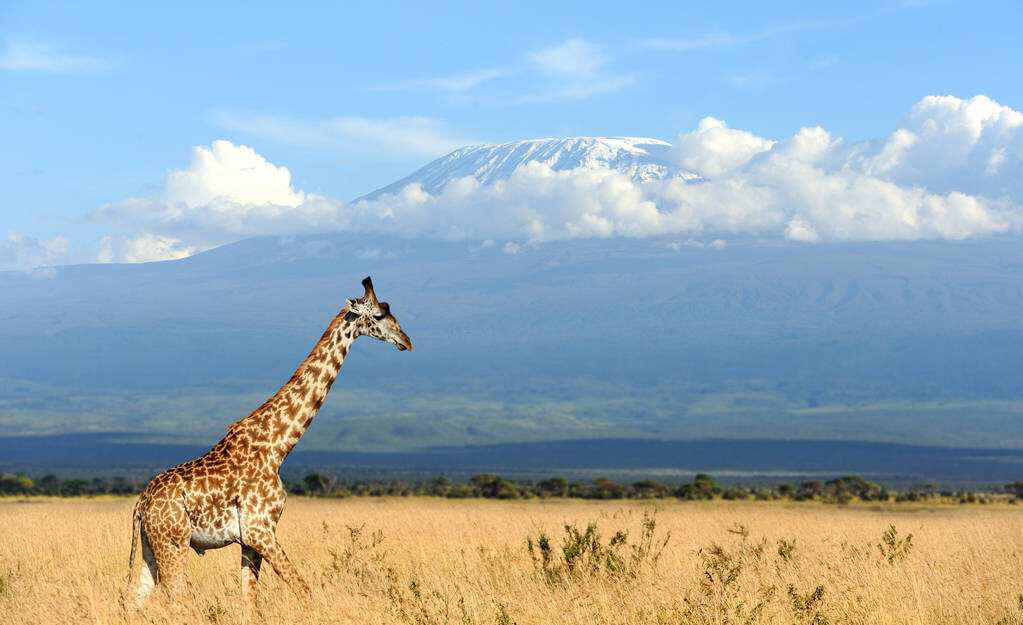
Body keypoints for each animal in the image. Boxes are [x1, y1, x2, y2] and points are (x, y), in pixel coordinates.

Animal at [126, 278, 411, 605]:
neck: (278, 446)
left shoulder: (250, 539)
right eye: (378, 315)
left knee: (134, 599)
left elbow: (249, 599)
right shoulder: (259, 530)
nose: (406, 340)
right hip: (173, 542)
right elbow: (303, 589)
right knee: (176, 597)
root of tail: (141, 503)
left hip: (150, 547)